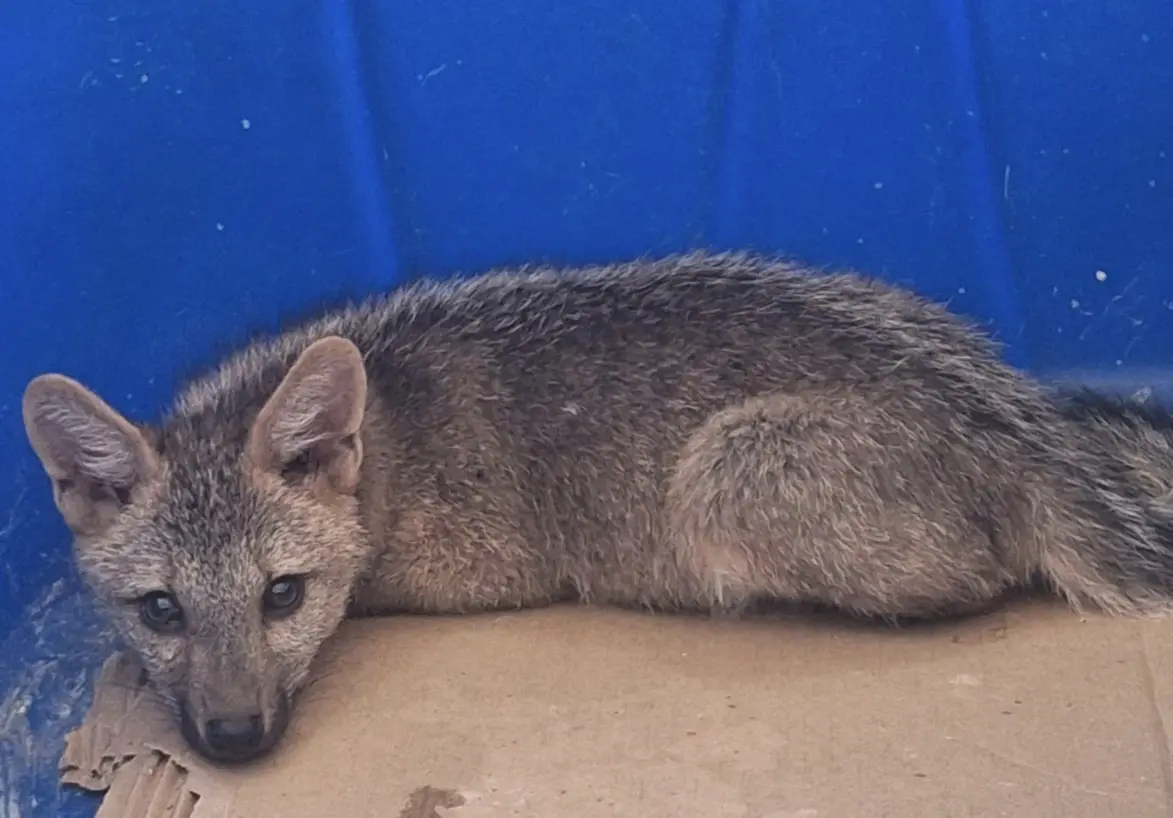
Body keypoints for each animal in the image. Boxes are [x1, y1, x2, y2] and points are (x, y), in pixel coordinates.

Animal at [20, 251, 1173, 765]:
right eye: (161, 609)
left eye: (283, 596)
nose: (233, 739)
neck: (390, 423)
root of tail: (1019, 423)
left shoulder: (468, 574)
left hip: (723, 472)